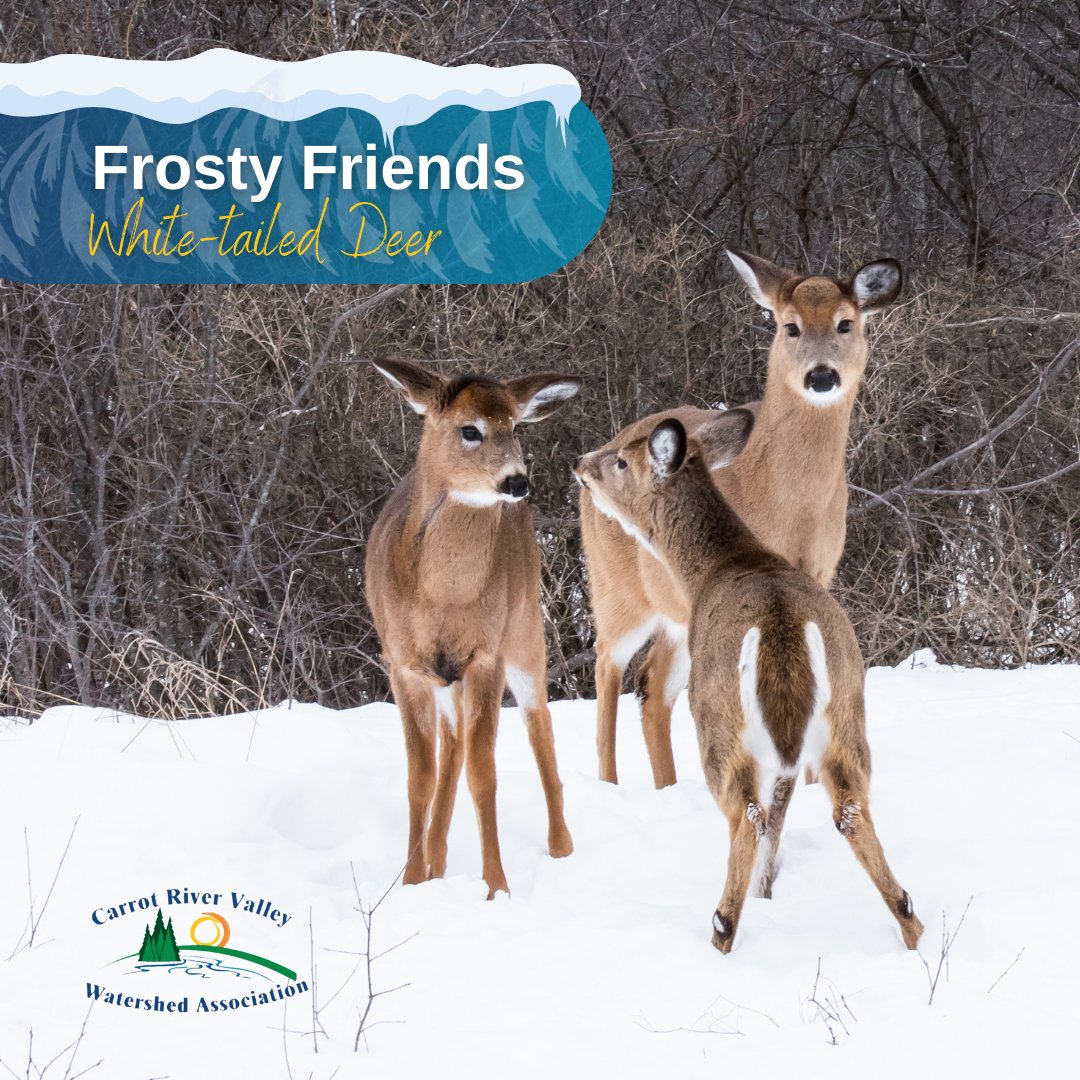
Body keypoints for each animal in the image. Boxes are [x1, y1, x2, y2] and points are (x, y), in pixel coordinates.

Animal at [364, 359, 580, 899]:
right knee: (452, 744)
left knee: (538, 725)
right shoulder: (403, 664)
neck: (444, 598)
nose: (517, 481)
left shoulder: (486, 655)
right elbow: (420, 775)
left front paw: (496, 888)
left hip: (525, 632)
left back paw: (561, 846)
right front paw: (412, 882)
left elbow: (485, 773)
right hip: (448, 676)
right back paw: (436, 860)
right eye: (470, 430)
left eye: (515, 426)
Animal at [575, 410, 923, 953]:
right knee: (849, 809)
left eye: (620, 462)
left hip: (718, 719)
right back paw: (911, 923)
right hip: (845, 713)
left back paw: (722, 927)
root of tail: (783, 629)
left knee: (745, 818)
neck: (714, 568)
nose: (582, 463)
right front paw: (768, 890)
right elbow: (779, 819)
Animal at [580, 247, 903, 788]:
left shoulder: (819, 574)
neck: (787, 502)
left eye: (846, 323)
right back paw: (608, 782)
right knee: (608, 666)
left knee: (653, 687)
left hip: (674, 616)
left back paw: (668, 785)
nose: (821, 376)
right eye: (790, 325)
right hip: (617, 590)